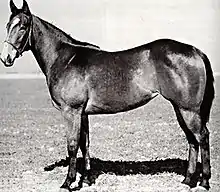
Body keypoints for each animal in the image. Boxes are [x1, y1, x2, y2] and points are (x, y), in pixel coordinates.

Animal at [0, 0, 215, 191]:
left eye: (23, 26)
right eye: (8, 25)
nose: (6, 58)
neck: (66, 58)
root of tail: (195, 51)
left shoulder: (71, 112)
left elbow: (72, 145)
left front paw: (68, 183)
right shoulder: (82, 114)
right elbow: (84, 144)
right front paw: (86, 179)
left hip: (188, 110)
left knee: (202, 137)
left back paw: (204, 181)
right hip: (180, 109)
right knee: (192, 140)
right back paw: (187, 181)